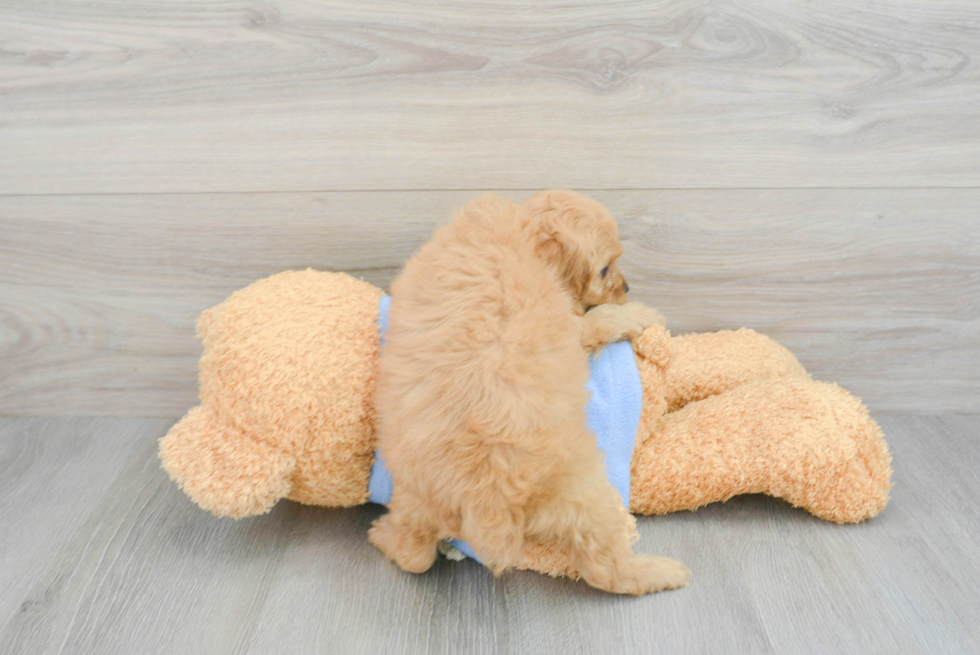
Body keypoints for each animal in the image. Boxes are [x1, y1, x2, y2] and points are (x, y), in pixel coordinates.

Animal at [368, 192, 688, 596]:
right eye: (604, 269)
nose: (627, 287)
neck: (522, 234)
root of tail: (488, 509)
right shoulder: (570, 324)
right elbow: (600, 321)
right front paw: (640, 313)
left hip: (415, 498)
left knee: (415, 555)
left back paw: (383, 536)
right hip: (589, 498)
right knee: (607, 571)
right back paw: (663, 572)